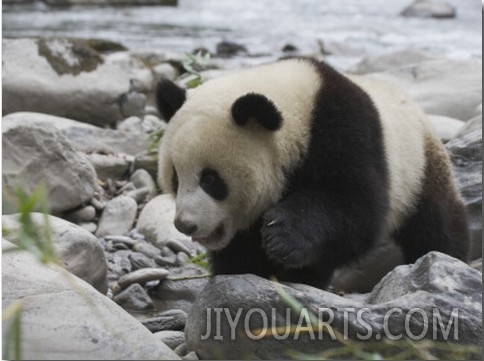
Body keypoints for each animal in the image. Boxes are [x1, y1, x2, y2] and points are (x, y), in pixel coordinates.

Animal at [156, 57, 468, 288]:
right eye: (175, 177)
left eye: (210, 179)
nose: (185, 225)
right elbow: (240, 249)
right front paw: (243, 271)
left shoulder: (346, 131)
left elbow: (357, 208)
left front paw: (281, 236)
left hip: (419, 166)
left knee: (435, 223)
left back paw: (445, 256)